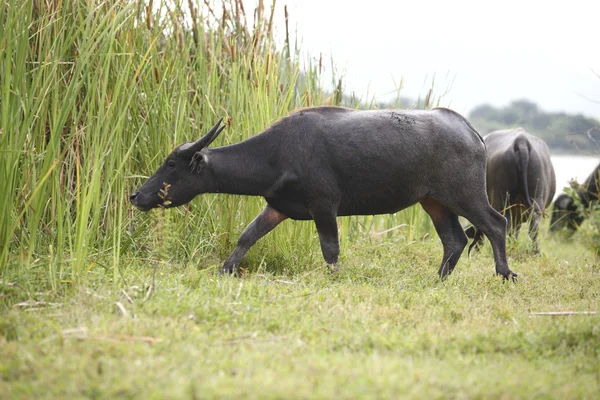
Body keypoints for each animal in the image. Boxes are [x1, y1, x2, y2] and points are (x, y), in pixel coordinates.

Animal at [130, 107, 516, 282]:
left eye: (170, 164)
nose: (136, 196)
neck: (277, 153)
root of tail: (471, 130)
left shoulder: (324, 206)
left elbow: (330, 249)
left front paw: (334, 278)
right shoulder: (278, 207)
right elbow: (247, 236)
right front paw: (226, 269)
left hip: (466, 195)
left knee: (496, 224)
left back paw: (504, 272)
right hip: (433, 201)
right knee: (454, 240)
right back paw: (438, 278)